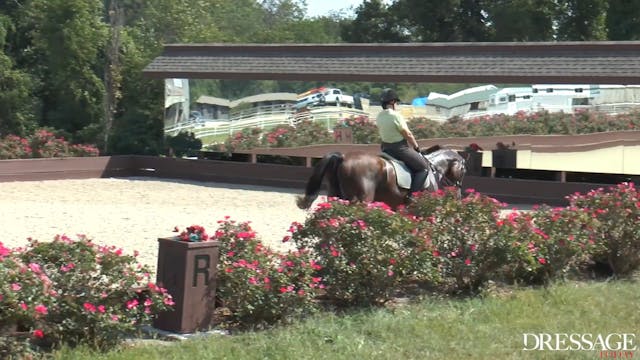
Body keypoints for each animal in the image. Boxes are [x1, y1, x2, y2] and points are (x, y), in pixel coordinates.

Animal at [298, 145, 468, 210]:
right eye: (464, 170)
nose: (459, 196)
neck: (433, 168)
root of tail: (343, 158)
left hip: (336, 197)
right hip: (361, 200)